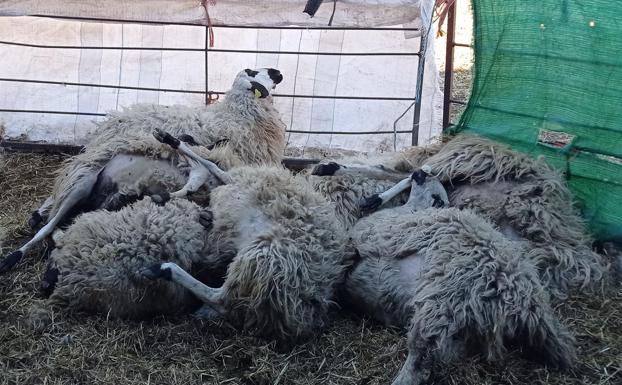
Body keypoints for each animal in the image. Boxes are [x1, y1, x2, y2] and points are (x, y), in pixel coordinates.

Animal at [0, 67, 288, 272]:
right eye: (253, 72)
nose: (277, 72)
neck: (236, 114)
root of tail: (113, 120)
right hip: (89, 168)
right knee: (56, 207)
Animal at [344, 170, 576, 384]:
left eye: (429, 185)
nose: (419, 172)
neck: (413, 209)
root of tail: (525, 303)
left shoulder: (369, 230)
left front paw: (374, 199)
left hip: (442, 305)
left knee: (420, 362)